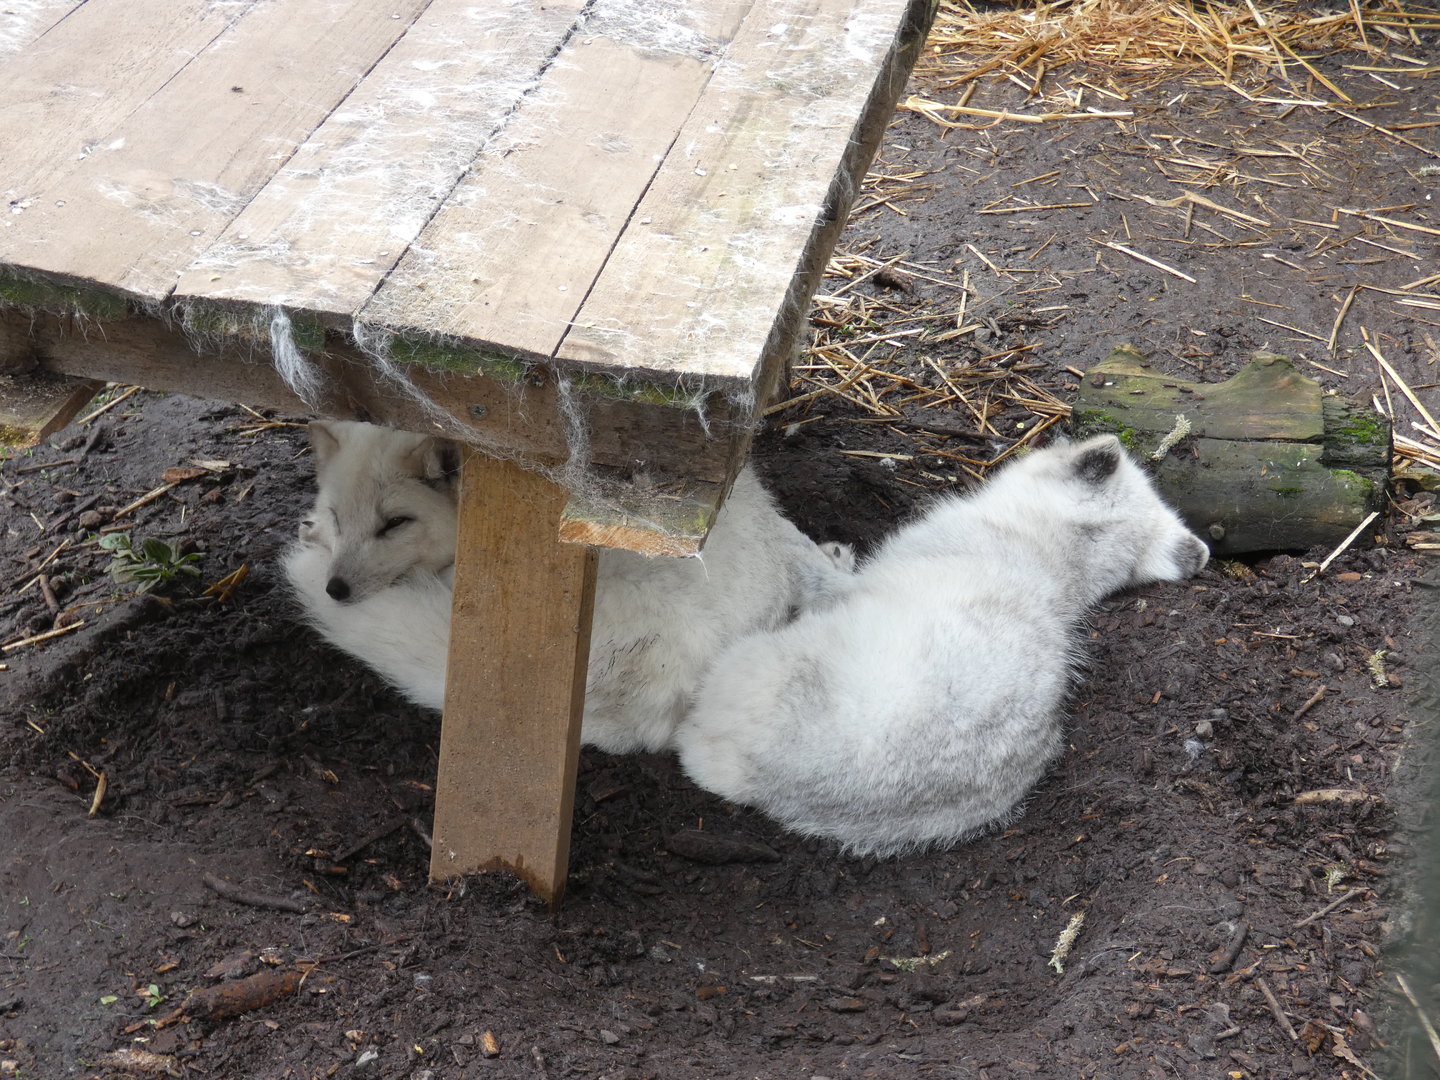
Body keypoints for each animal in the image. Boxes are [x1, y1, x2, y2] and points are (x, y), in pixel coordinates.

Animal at [672, 435, 1210, 857]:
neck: (1049, 557)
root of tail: (763, 776)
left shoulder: (858, 587)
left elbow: (811, 568)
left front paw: (786, 534)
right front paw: (836, 551)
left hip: (746, 665)